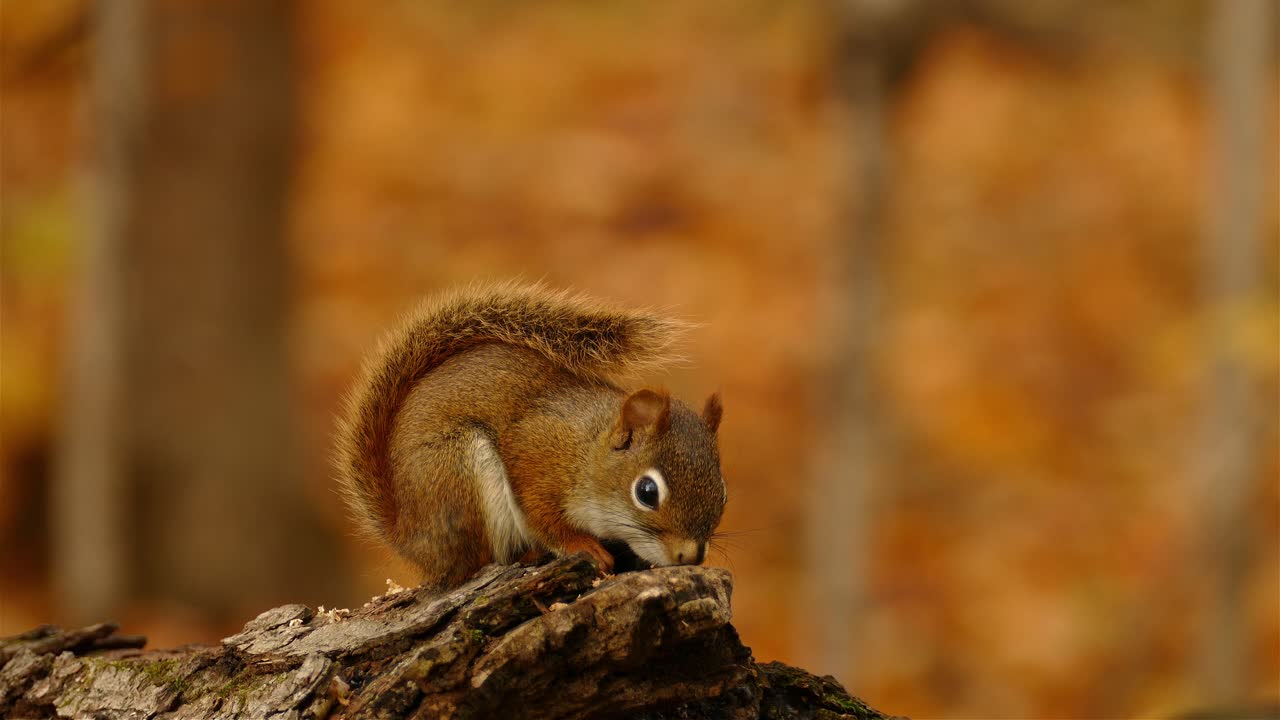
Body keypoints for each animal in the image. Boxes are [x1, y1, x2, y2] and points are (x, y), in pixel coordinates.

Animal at [335, 282, 726, 590]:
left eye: (723, 492)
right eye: (647, 492)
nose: (690, 556)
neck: (588, 450)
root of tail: (411, 537)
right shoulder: (536, 456)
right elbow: (542, 515)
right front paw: (582, 546)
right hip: (457, 473)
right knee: (475, 563)